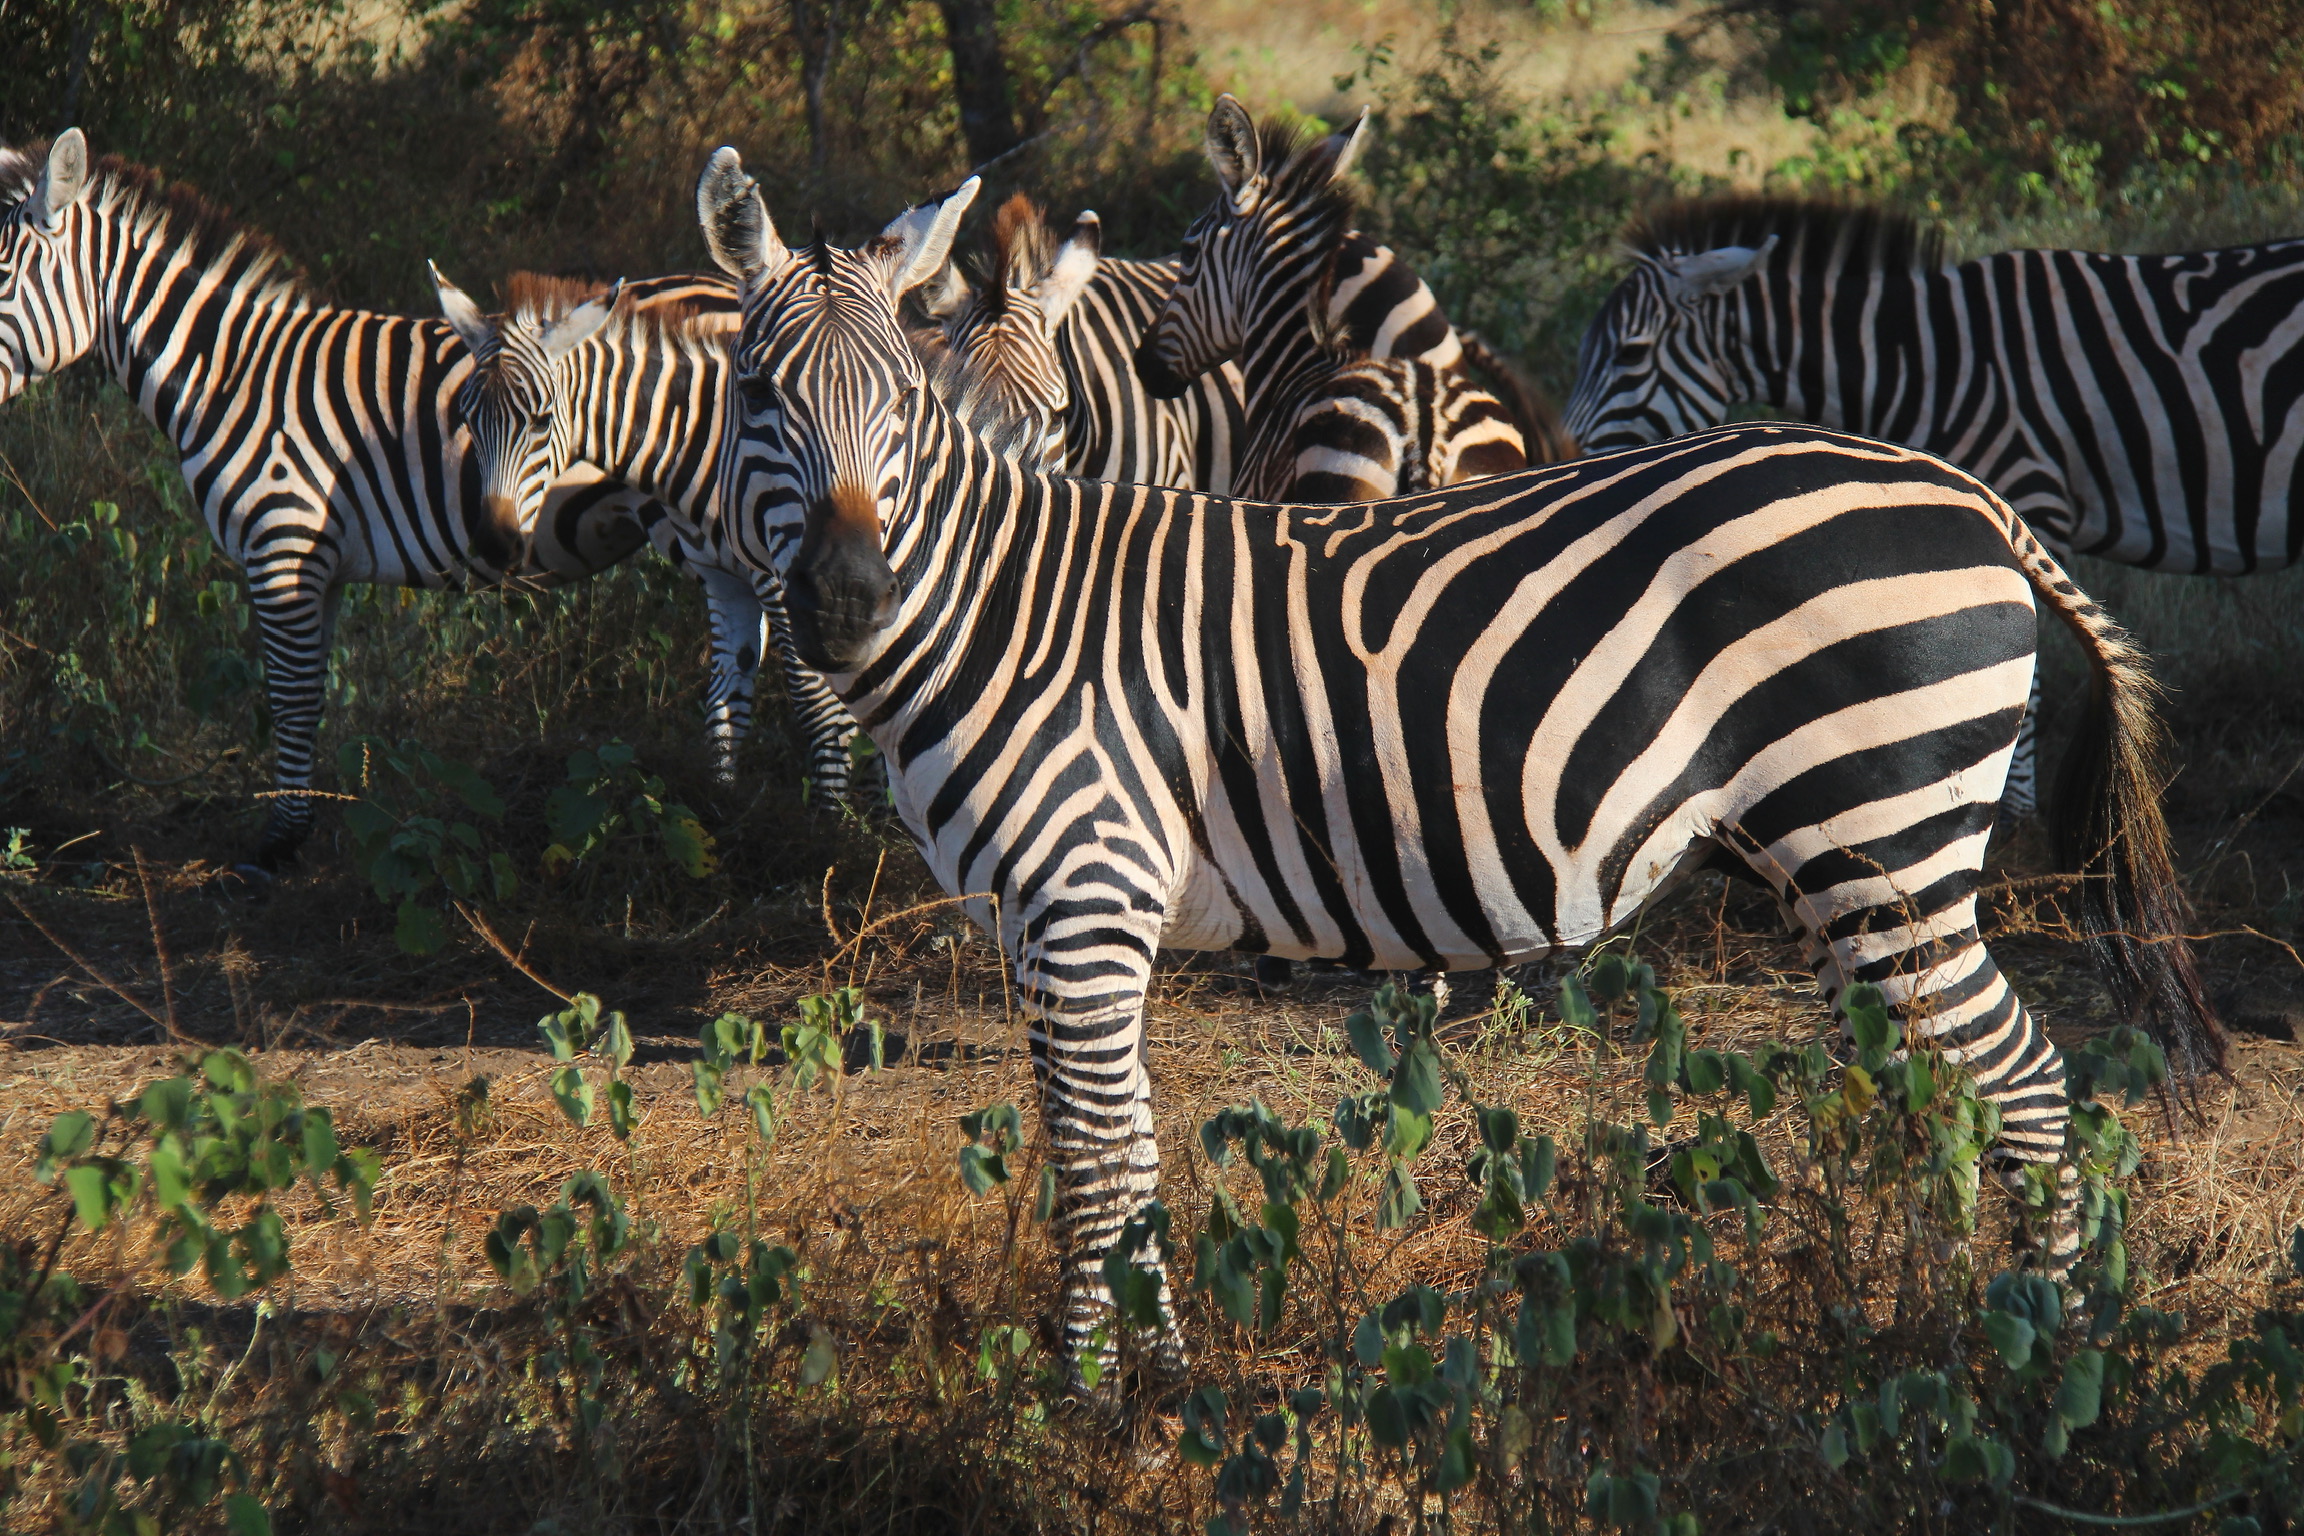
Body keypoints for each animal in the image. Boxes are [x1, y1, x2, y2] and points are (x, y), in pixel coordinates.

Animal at [0, 131, 769, 870]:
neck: (232, 377)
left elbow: (290, 696)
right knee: (736, 663)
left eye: (0, 286)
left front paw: (280, 842)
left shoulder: (282, 546)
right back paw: (722, 803)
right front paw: (299, 828)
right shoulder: (319, 564)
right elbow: (310, 695)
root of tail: (732, 286)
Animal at [426, 265, 867, 797]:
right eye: (466, 418)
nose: (494, 543)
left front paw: (833, 816)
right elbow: (725, 703)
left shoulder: (787, 584)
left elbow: (823, 711)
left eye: (542, 419)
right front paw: (722, 802)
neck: (712, 440)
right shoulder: (725, 579)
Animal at [695, 149, 2225, 1378]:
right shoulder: (1046, 919)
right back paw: (1954, 1321)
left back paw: (2032, 1357)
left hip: (1881, 837)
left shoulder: (1085, 897)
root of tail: (1964, 495)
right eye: (759, 393)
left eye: (900, 400)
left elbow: (1088, 1155)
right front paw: (1155, 1377)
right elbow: (1119, 1153)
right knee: (1959, 1087)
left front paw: (1090, 1398)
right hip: (1845, 864)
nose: (845, 600)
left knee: (2024, 1086)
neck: (1004, 609)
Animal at [1561, 197, 2304, 820]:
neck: (1930, 360)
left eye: (1631, 354)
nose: (1564, 463)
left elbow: (2031, 682)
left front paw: (2013, 813)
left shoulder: (2025, 492)